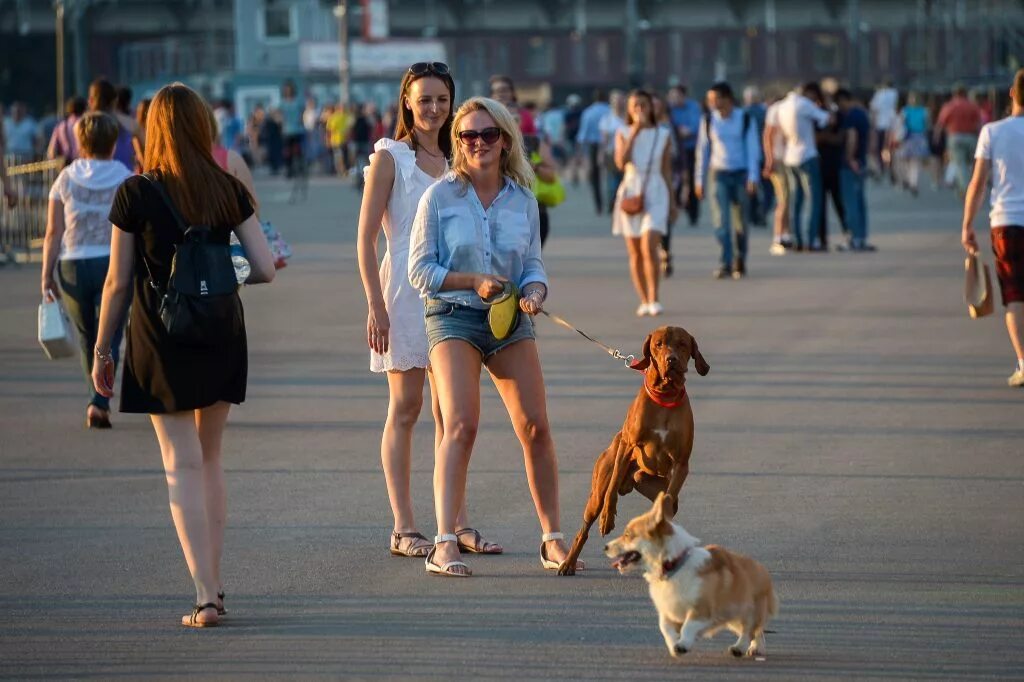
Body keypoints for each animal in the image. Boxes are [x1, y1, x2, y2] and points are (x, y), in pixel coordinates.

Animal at [557, 323, 708, 573]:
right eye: (659, 344)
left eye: (682, 344)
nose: (671, 359)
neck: (665, 395)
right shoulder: (627, 447)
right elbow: (613, 487)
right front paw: (608, 517)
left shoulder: (681, 464)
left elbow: (668, 501)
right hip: (598, 490)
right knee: (585, 527)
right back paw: (569, 562)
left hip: (645, 480)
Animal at [598, 491, 774, 655]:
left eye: (627, 535)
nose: (605, 547)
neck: (673, 566)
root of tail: (763, 571)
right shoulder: (667, 612)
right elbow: (665, 627)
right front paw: (673, 643)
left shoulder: (701, 610)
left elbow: (688, 627)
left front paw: (682, 644)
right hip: (732, 618)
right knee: (753, 632)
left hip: (744, 612)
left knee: (750, 630)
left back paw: (744, 648)